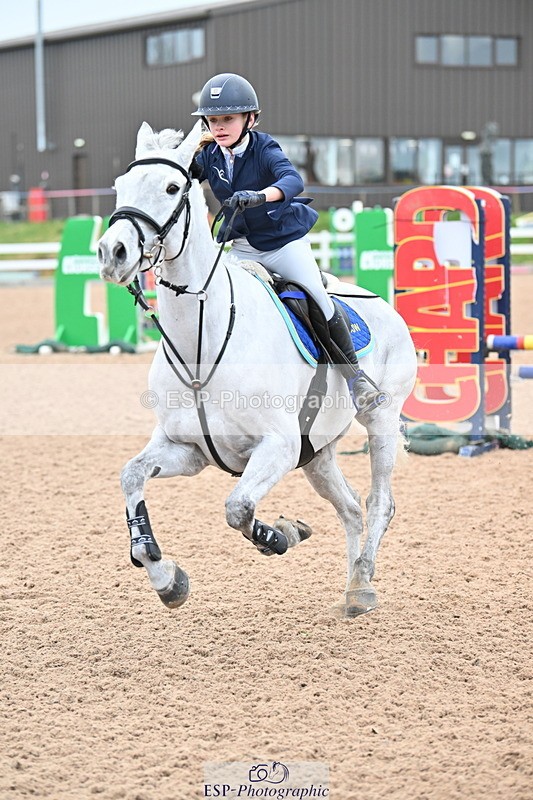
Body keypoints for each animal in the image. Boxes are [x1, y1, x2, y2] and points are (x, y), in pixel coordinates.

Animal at [97, 120, 417, 617]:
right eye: (119, 186)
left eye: (171, 188)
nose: (112, 252)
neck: (200, 345)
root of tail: (381, 302)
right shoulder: (187, 449)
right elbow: (131, 476)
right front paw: (166, 577)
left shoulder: (277, 447)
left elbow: (239, 509)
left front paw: (280, 535)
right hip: (317, 452)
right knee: (349, 507)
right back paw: (351, 585)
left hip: (379, 419)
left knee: (379, 502)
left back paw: (363, 583)